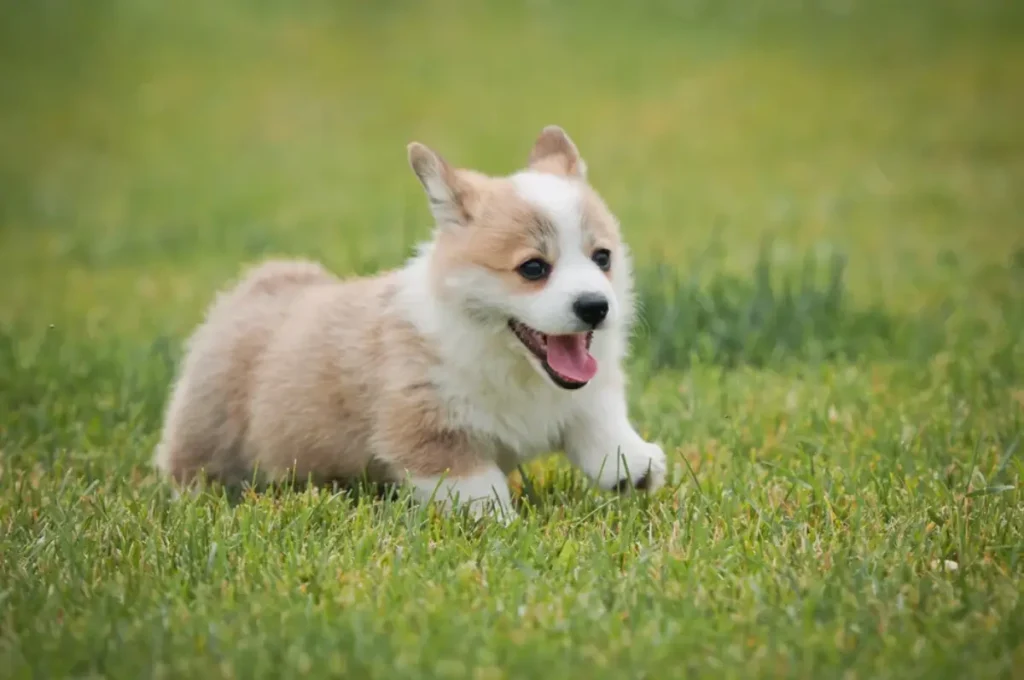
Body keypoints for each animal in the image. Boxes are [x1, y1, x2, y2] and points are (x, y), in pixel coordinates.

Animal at [149, 125, 663, 520]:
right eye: (533, 268)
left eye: (602, 258)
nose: (596, 306)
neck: (507, 361)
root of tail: (258, 286)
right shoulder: (426, 428)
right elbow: (475, 483)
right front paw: (499, 522)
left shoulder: (585, 396)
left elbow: (597, 422)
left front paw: (633, 466)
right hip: (207, 432)